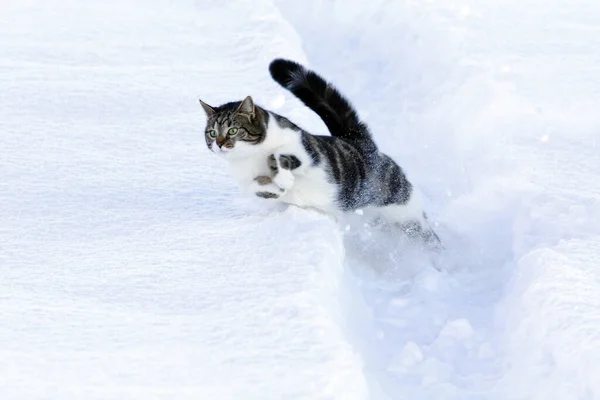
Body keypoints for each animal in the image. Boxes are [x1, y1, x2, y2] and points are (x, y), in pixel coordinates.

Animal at [199, 57, 438, 250]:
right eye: (212, 133)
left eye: (233, 130)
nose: (220, 143)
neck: (250, 157)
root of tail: (358, 140)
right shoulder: (245, 180)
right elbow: (255, 186)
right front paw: (278, 188)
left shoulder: (305, 149)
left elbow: (281, 154)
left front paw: (283, 178)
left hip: (405, 213)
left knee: (428, 235)